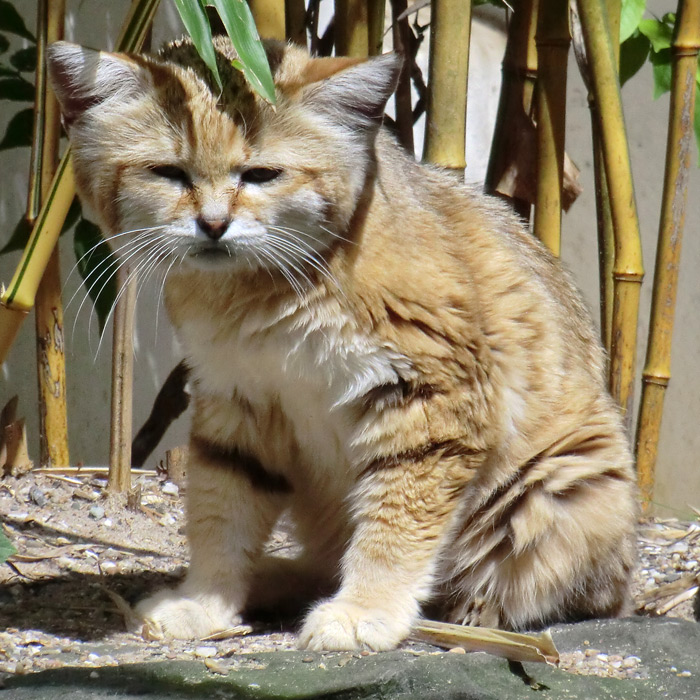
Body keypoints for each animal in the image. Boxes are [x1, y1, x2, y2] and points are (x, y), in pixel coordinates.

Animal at [49, 37, 636, 652]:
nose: (212, 224)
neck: (263, 293)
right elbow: (220, 512)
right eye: (167, 172)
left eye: (261, 174)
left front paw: (365, 610)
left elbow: (395, 523)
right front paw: (205, 601)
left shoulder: (431, 405)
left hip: (557, 489)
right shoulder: (236, 401)